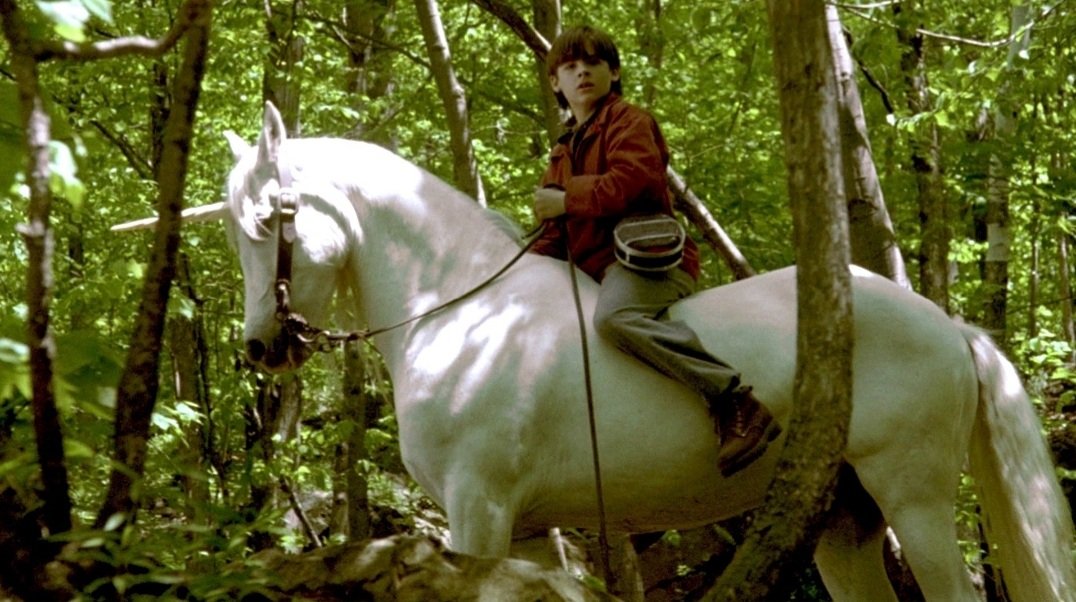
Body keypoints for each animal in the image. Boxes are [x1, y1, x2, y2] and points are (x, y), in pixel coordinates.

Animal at [115, 102, 1074, 601]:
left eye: (268, 221)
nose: (263, 346)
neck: (456, 309)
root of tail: (948, 325)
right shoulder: (527, 534)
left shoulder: (478, 514)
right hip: (843, 524)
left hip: (912, 499)